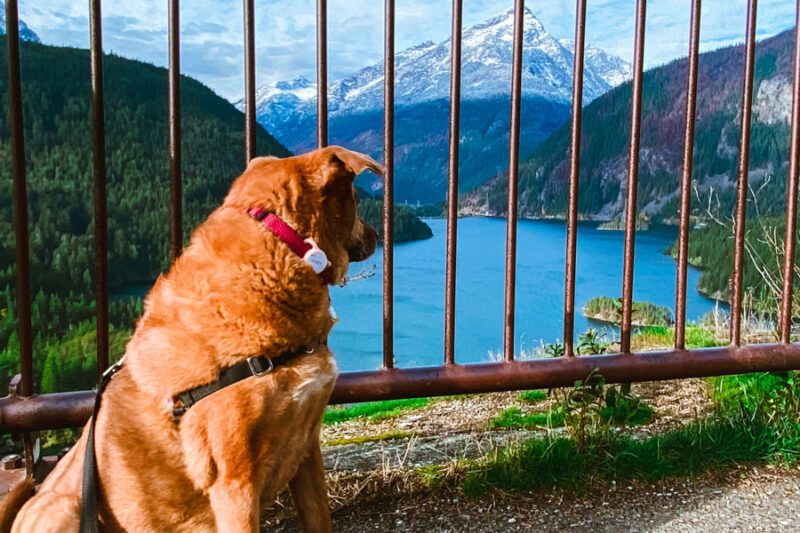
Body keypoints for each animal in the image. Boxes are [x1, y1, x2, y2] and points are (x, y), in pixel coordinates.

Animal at [0, 145, 382, 532]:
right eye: (355, 199)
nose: (376, 234)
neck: (284, 250)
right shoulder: (234, 482)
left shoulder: (305, 449)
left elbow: (321, 518)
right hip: (63, 506)